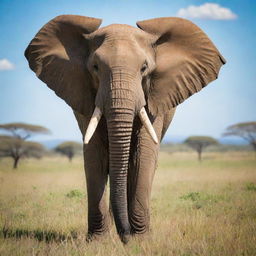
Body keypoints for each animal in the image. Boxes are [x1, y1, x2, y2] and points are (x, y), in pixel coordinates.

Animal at [24, 14, 224, 242]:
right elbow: (94, 154)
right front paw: (98, 241)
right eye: (95, 67)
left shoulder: (154, 100)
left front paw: (141, 240)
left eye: (144, 68)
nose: (125, 237)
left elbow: (142, 157)